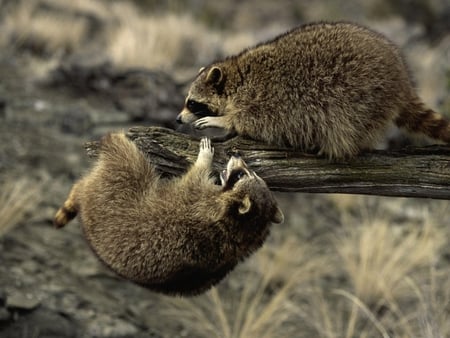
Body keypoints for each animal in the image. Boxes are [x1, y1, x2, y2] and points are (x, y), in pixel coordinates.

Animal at [54, 133, 284, 294]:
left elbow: (195, 176)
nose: (237, 155)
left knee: (129, 161)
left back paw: (115, 141)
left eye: (241, 175)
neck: (245, 228)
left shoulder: (199, 200)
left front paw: (204, 159)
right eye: (246, 173)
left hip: (114, 191)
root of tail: (85, 201)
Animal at [177, 21, 450, 159]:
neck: (237, 79)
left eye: (192, 103)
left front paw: (223, 121)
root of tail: (402, 79)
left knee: (347, 121)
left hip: (364, 93)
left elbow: (256, 120)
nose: (178, 119)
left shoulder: (269, 98)